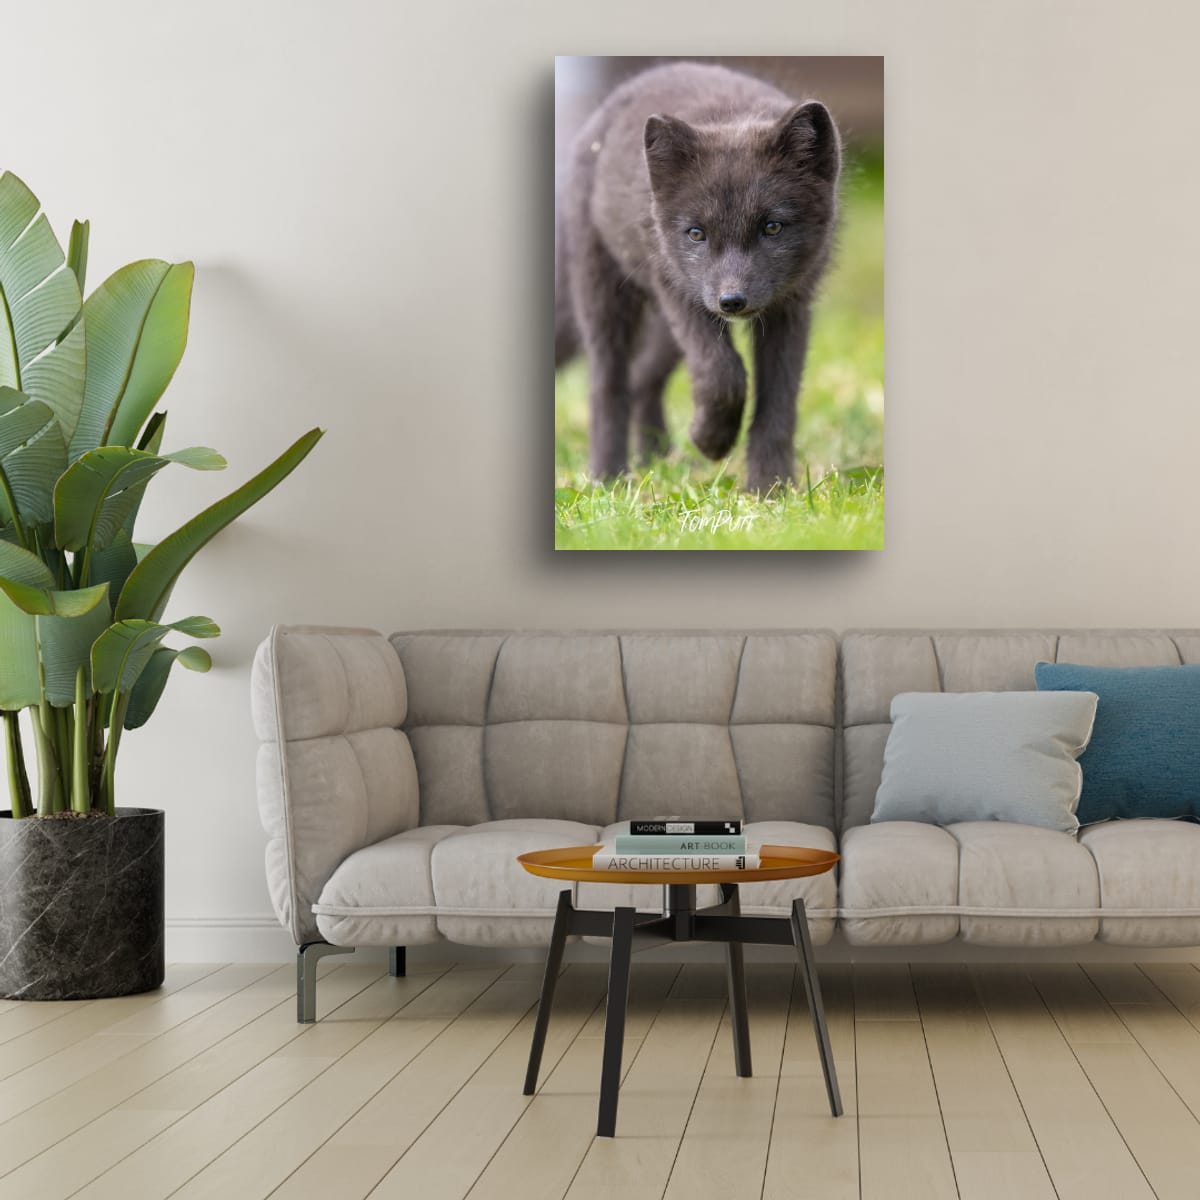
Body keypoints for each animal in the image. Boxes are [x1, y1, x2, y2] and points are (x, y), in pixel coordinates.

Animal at [555, 61, 841, 492]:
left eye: (772, 227)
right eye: (695, 233)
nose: (732, 301)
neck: (731, 117)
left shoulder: (791, 306)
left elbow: (779, 402)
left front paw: (769, 488)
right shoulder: (677, 291)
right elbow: (722, 373)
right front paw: (711, 441)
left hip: (666, 331)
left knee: (642, 379)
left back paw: (654, 458)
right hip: (604, 294)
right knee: (608, 383)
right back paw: (610, 478)